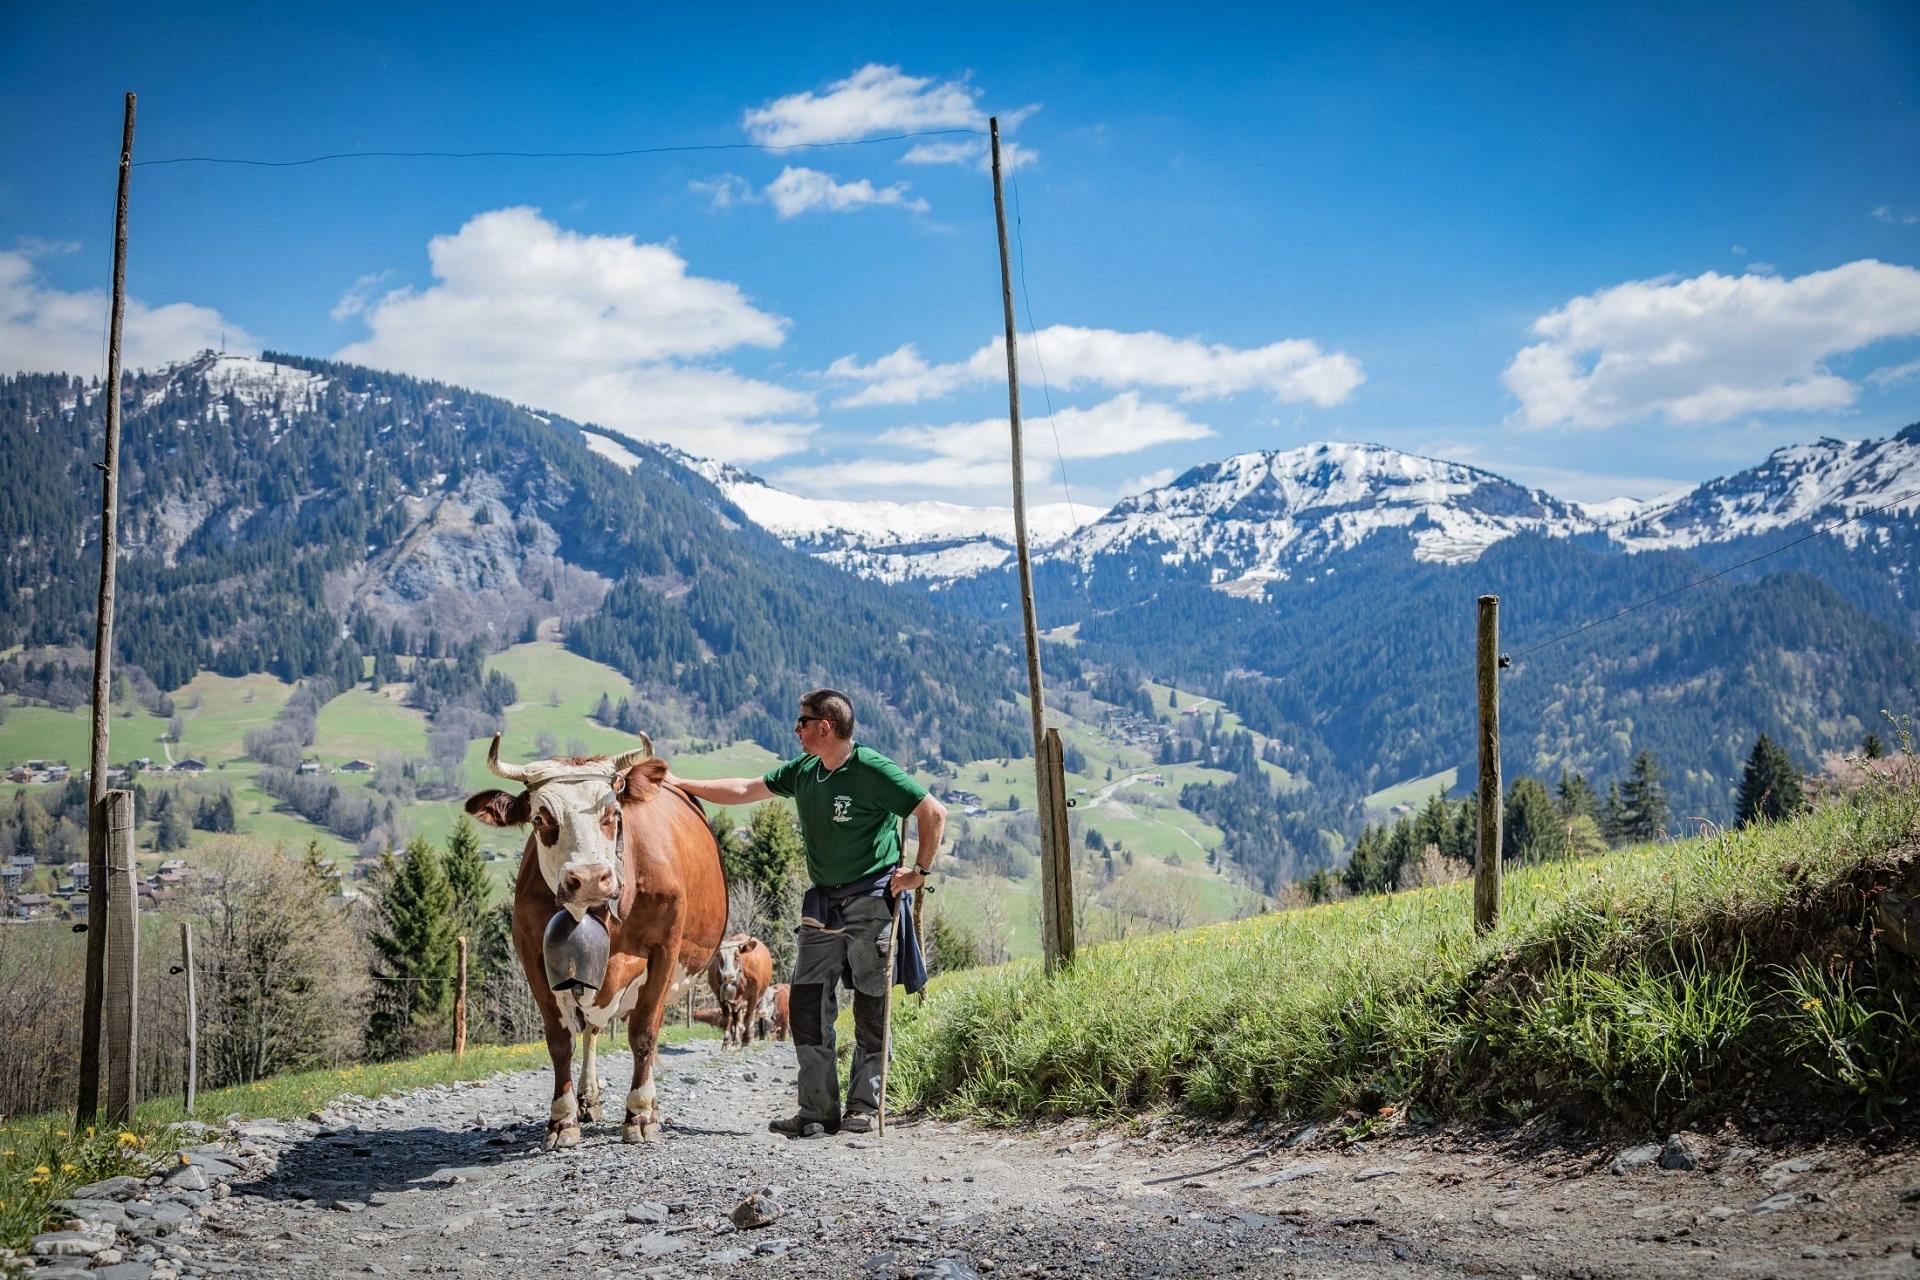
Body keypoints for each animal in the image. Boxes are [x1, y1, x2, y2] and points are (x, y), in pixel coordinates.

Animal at [466, 729, 725, 1151]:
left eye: (613, 814)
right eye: (540, 818)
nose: (588, 878)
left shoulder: (665, 951)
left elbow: (644, 1033)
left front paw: (640, 1113)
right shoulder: (533, 955)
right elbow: (560, 1039)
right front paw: (562, 1119)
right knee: (590, 1029)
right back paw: (588, 1099)